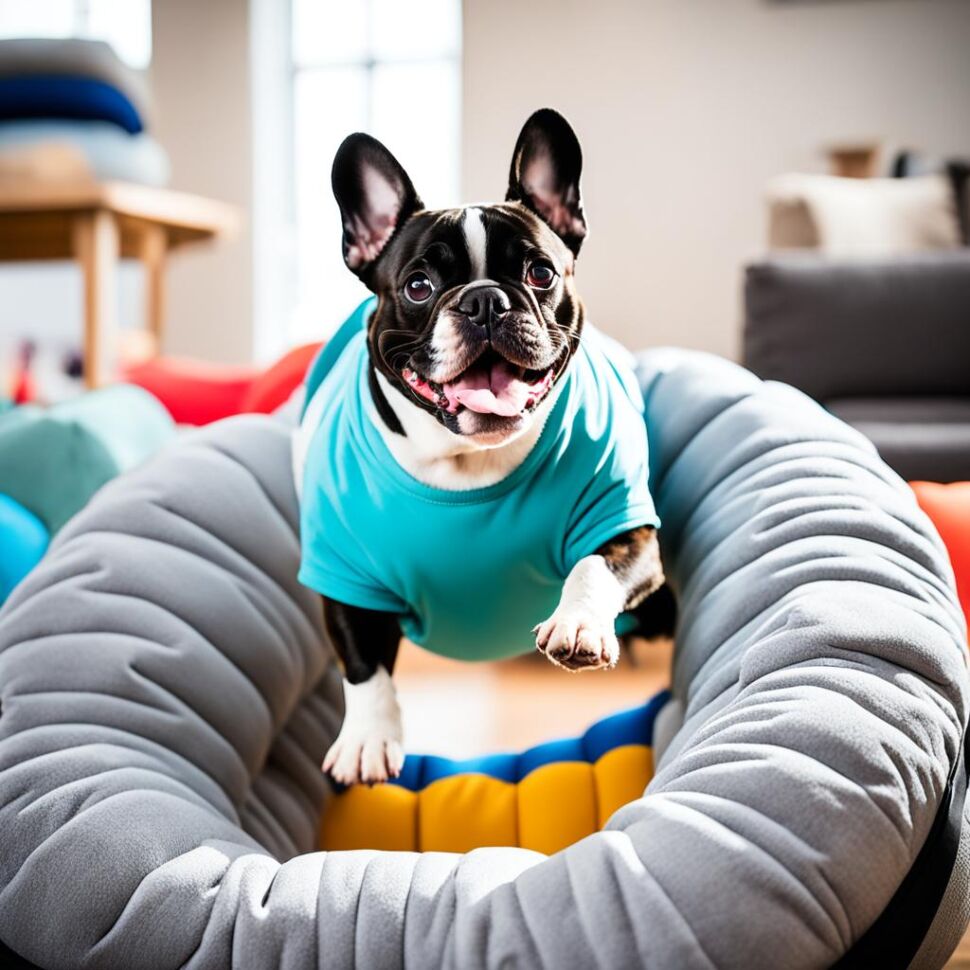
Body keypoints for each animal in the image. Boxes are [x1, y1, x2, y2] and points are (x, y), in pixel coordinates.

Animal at [294, 108, 668, 788]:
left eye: (540, 273)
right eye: (418, 286)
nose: (485, 300)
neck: (467, 463)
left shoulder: (626, 526)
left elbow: (594, 565)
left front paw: (578, 623)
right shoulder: (344, 574)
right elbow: (363, 665)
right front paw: (367, 738)